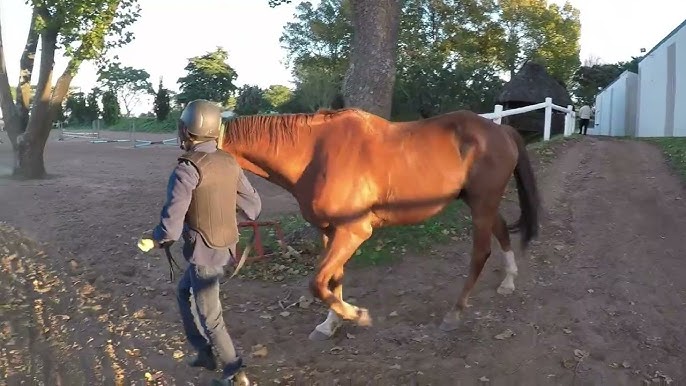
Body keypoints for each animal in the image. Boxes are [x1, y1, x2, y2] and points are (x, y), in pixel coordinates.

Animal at [218, 108, 540, 340]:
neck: (315, 154)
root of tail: (501, 129)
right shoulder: (330, 231)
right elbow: (333, 280)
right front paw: (331, 324)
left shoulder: (354, 232)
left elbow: (318, 282)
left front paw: (357, 315)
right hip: (479, 202)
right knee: (501, 229)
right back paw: (509, 280)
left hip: (482, 204)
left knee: (480, 253)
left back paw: (455, 312)